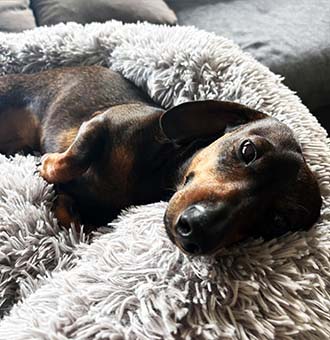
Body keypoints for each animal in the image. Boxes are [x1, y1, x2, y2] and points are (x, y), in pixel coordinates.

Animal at [0, 65, 320, 252]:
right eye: (248, 150)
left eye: (277, 222)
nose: (196, 233)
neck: (155, 172)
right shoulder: (102, 122)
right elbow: (76, 156)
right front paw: (48, 167)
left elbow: (74, 217)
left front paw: (67, 211)